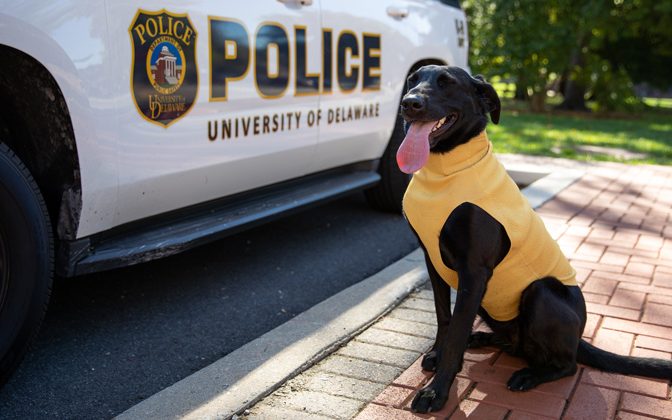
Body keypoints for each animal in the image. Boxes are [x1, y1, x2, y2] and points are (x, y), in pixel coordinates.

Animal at [396, 65, 668, 414]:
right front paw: (436, 355)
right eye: (412, 80)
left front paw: (436, 392)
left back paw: (530, 375)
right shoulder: (433, 262)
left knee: (568, 365)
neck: (445, 171)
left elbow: (456, 331)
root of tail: (579, 338)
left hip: (540, 293)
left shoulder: (474, 271)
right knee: (512, 343)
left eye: (447, 84)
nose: (409, 103)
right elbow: (446, 319)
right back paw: (483, 339)